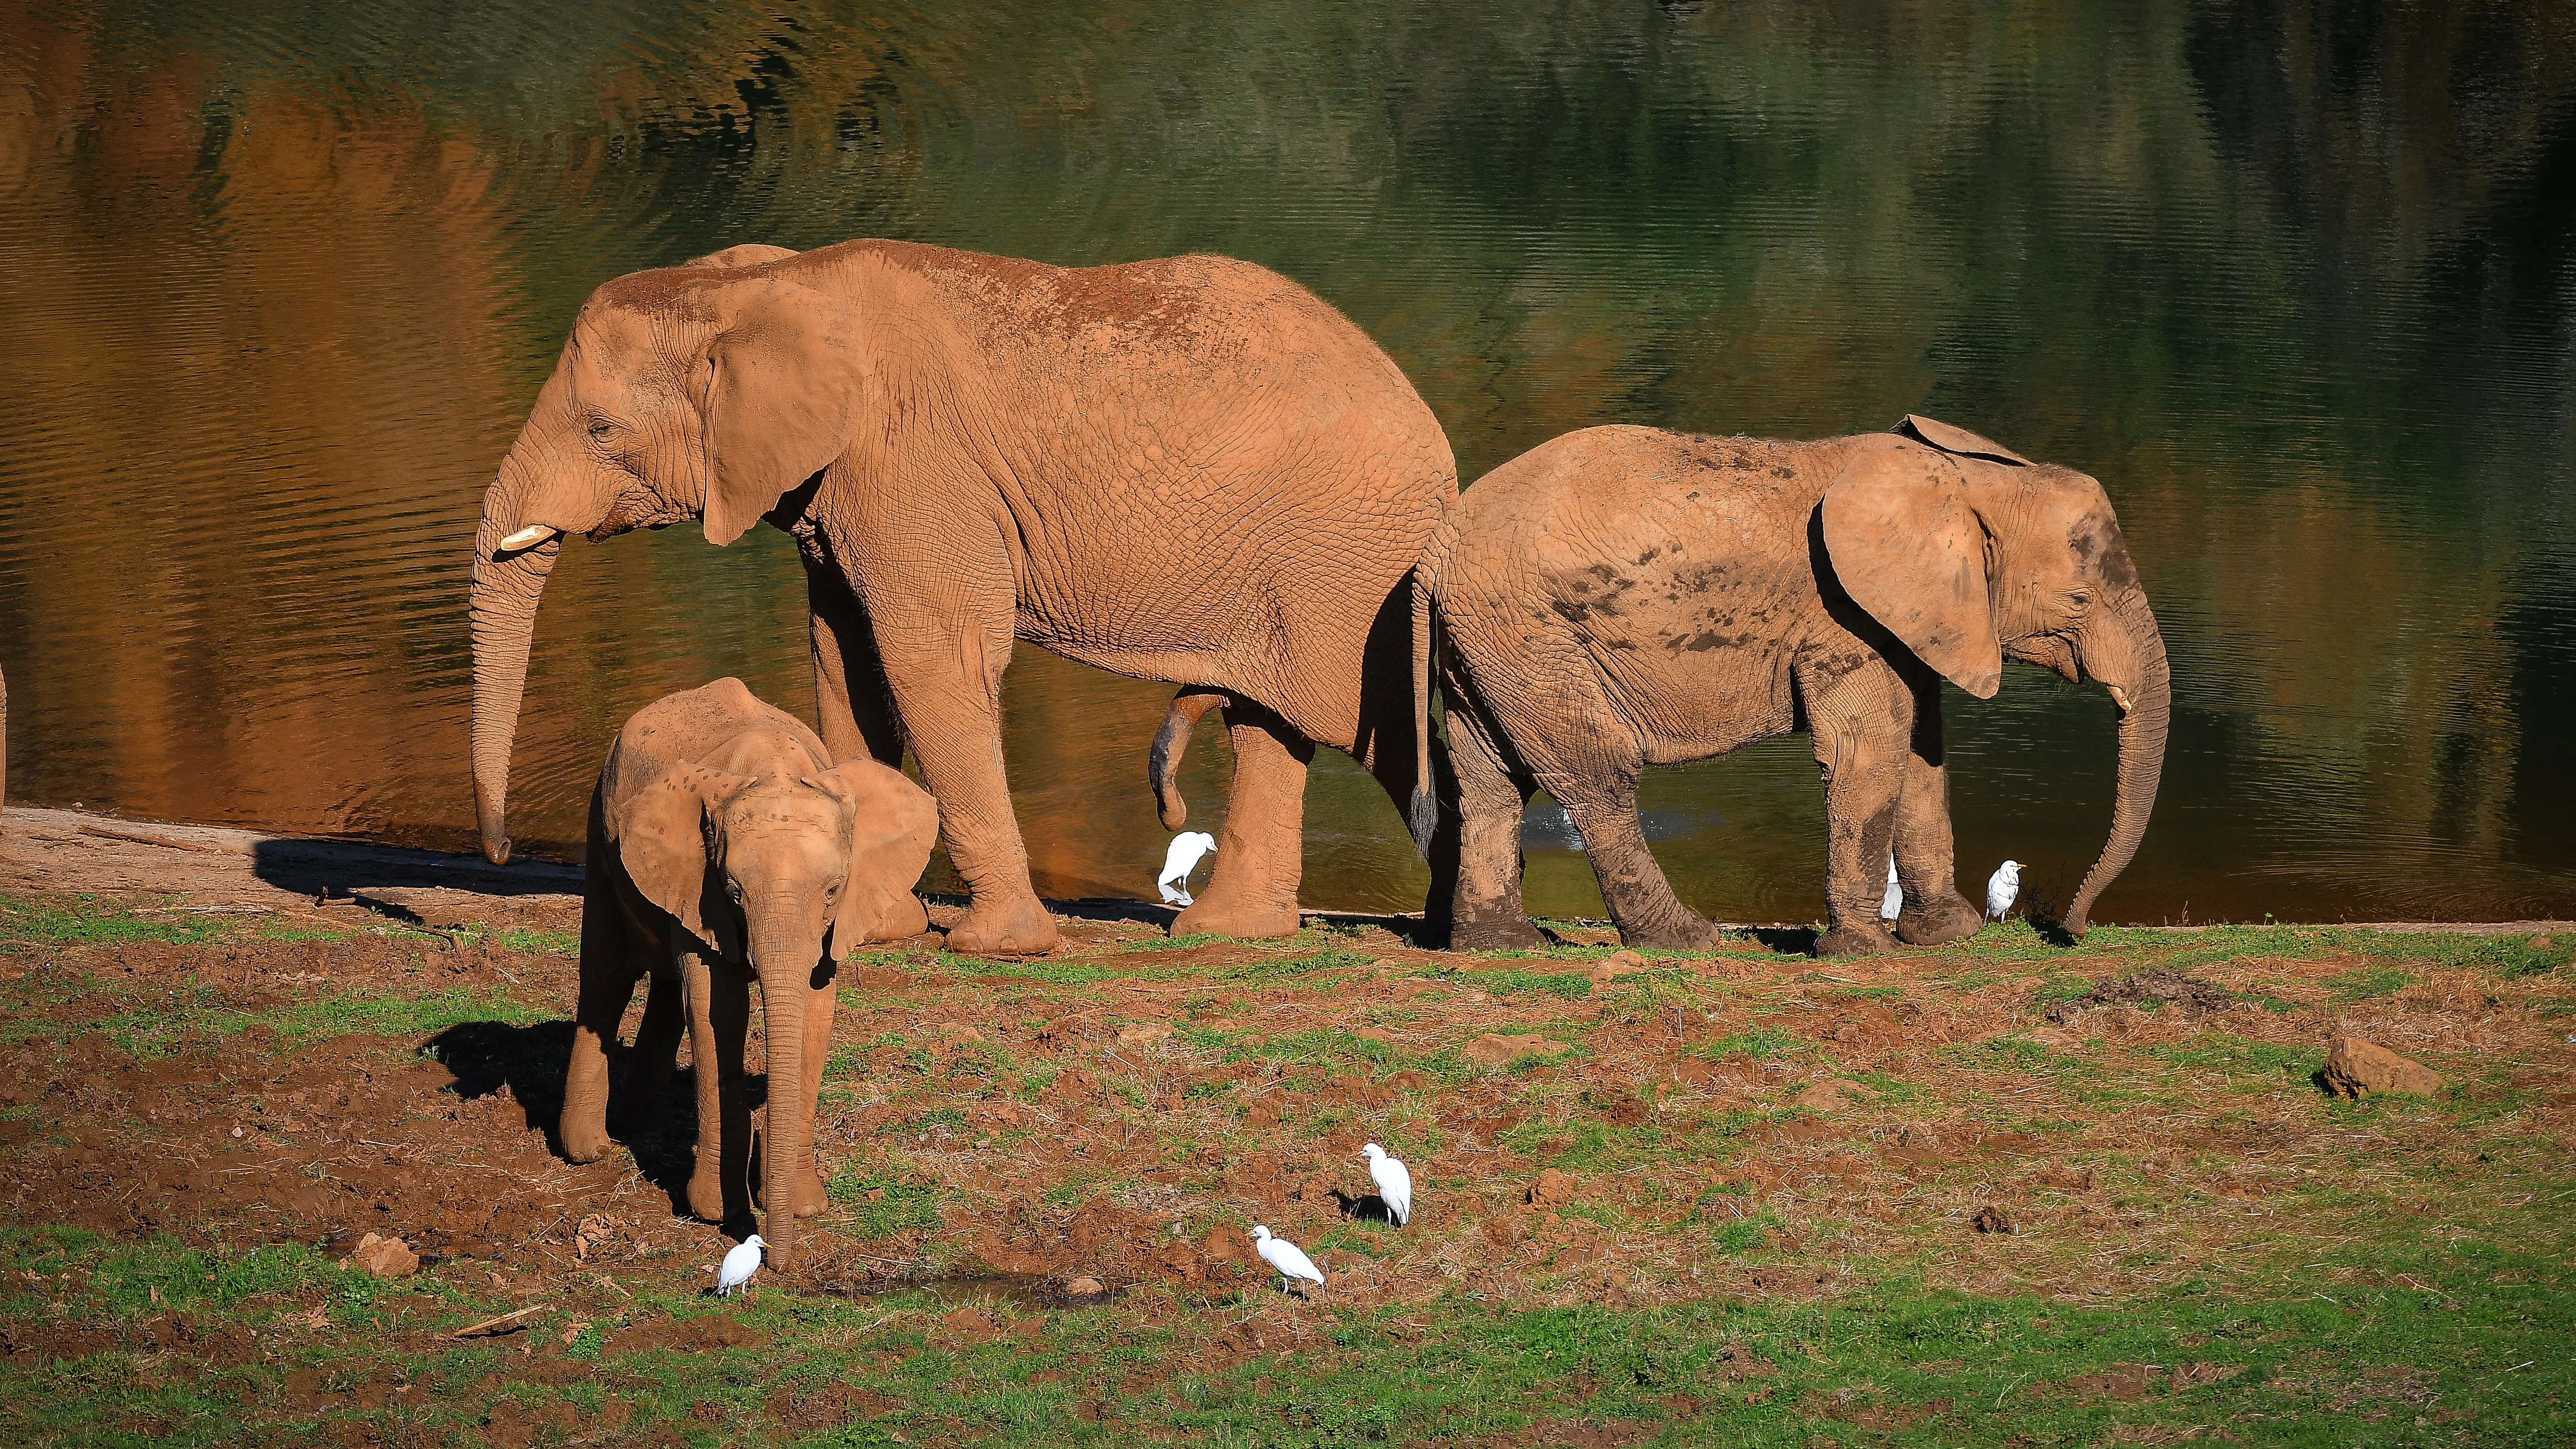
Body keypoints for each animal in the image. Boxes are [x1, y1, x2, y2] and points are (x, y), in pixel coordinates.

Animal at [468, 239, 1457, 958]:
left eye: (601, 429)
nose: (503, 852)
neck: (758, 284)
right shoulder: (840, 491)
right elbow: (847, 665)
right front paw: (874, 928)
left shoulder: (911, 465)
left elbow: (926, 663)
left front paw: (994, 948)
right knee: (1268, 722)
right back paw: (1231, 933)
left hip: (1351, 561)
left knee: (1381, 731)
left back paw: (1455, 936)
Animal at [562, 677, 937, 1270]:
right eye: (735, 890)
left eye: (833, 890)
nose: (776, 1262)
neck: (774, 770)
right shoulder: (701, 880)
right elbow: (719, 1007)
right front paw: (718, 1212)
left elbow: (814, 1011)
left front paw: (805, 1207)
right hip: (601, 833)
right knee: (605, 981)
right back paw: (588, 1150)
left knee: (666, 987)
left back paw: (643, 1129)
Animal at [1423, 415, 2169, 957]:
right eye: (2080, 600)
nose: (2070, 929)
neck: (1963, 484)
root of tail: (1440, 544)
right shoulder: (1844, 617)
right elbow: (1868, 751)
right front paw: (1866, 954)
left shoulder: (1912, 616)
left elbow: (1921, 752)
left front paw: (1947, 936)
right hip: (1531, 636)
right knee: (1598, 776)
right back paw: (1684, 941)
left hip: (1489, 649)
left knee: (1488, 779)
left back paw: (1503, 947)